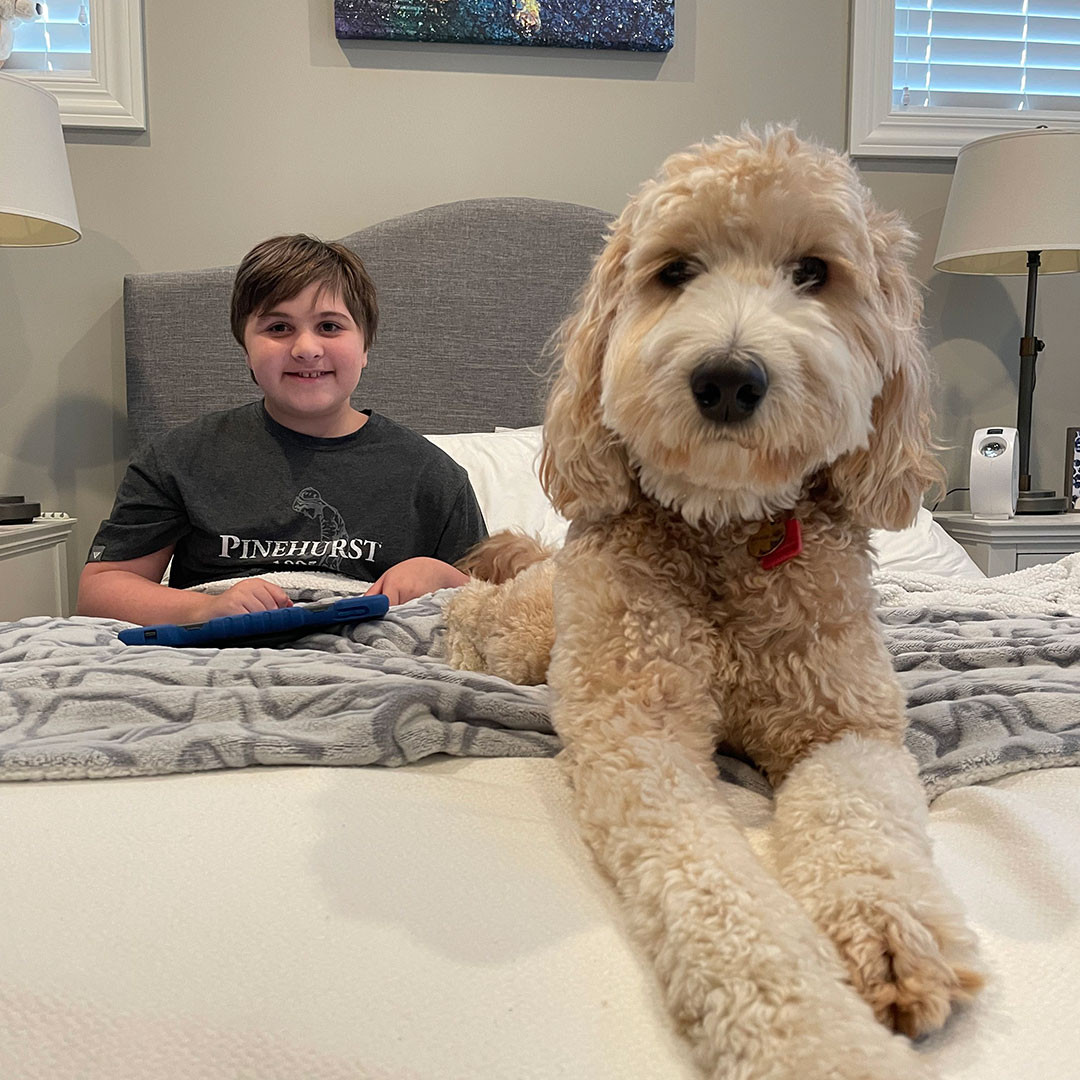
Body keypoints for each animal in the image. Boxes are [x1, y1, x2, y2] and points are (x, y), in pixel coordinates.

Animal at [444, 128, 980, 1080]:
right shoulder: (638, 739)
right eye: (675, 271)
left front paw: (890, 938)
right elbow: (722, 897)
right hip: (534, 630)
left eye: (814, 272)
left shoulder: (846, 726)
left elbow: (865, 824)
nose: (729, 377)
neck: (728, 531)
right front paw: (817, 1042)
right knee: (473, 608)